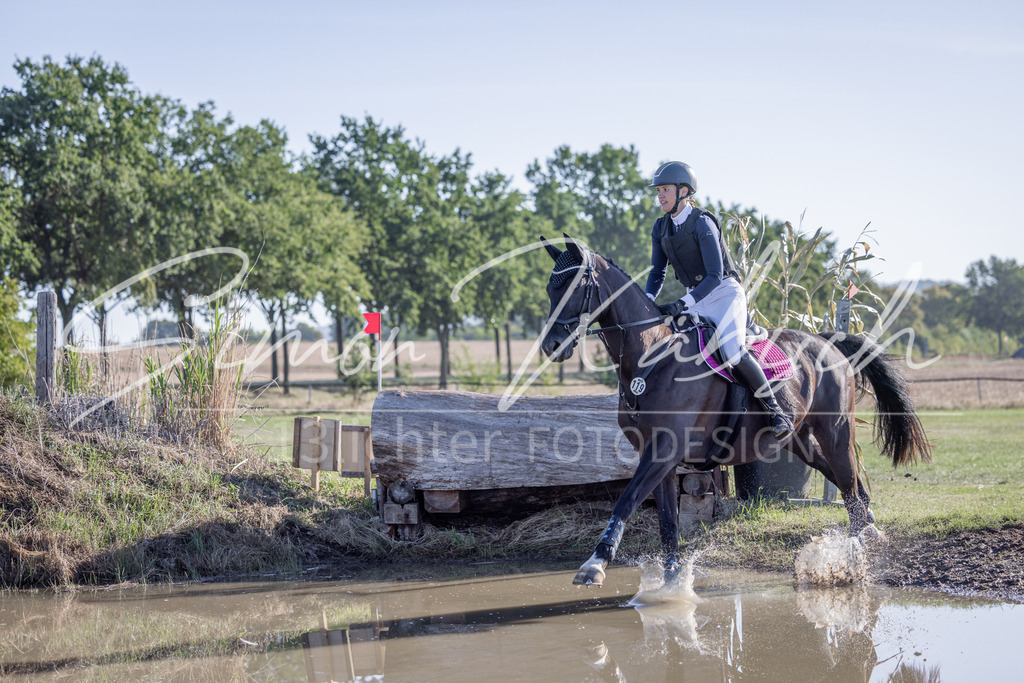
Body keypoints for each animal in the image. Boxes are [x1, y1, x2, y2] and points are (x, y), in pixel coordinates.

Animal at [538, 235, 931, 587]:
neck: (653, 356)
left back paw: (857, 551)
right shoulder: (657, 457)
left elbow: (626, 500)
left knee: (848, 485)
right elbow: (667, 522)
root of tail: (826, 341)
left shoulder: (663, 451)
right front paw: (671, 583)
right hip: (799, 440)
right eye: (549, 290)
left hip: (835, 431)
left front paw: (594, 564)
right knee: (845, 483)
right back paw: (870, 530)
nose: (551, 346)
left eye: (574, 286)